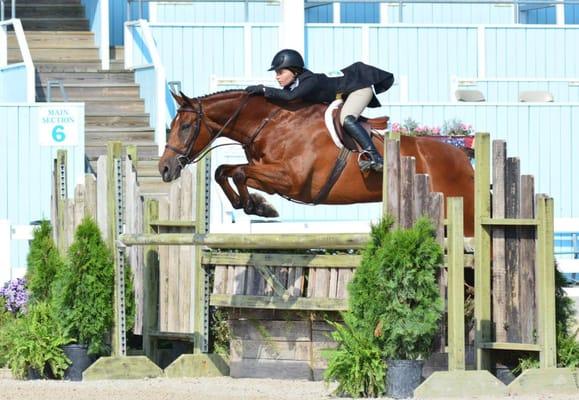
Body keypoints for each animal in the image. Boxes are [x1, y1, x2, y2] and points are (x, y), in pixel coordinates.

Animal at [160, 89, 476, 236]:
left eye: (185, 127)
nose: (165, 168)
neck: (271, 123)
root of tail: (463, 156)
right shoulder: (272, 178)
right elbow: (225, 171)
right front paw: (255, 205)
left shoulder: (292, 180)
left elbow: (236, 173)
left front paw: (256, 206)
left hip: (463, 215)